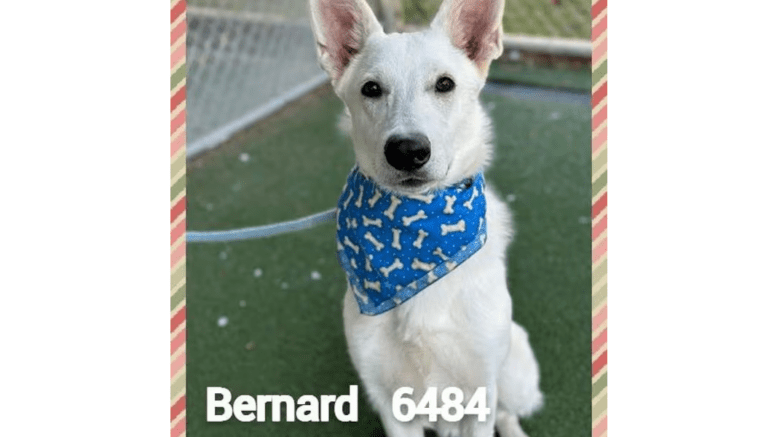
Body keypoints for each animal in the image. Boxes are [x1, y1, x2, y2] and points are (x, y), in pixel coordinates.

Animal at [306, 1, 544, 434]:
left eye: (445, 84)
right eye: (371, 89)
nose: (407, 150)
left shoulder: (480, 396)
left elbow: (490, 410)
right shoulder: (390, 403)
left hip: (514, 370)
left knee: (509, 410)